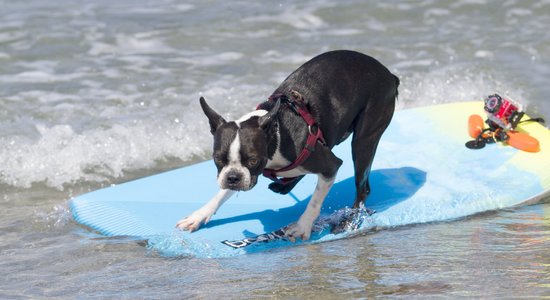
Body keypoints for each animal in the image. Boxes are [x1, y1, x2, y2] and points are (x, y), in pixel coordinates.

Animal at [179, 49, 398, 241]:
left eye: (253, 160)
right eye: (217, 159)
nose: (233, 178)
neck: (276, 133)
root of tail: (389, 74)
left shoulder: (329, 166)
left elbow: (315, 201)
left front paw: (302, 226)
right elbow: (221, 194)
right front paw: (199, 215)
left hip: (364, 138)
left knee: (362, 187)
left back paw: (349, 220)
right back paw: (284, 185)